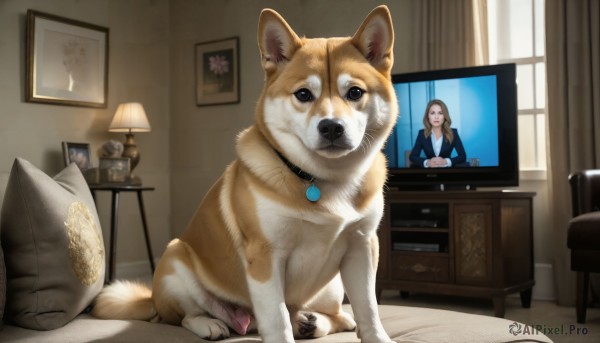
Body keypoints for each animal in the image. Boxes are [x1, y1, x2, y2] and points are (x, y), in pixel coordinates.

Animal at [94, 5, 398, 343]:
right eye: (303, 94)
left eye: (355, 92)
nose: (331, 127)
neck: (322, 179)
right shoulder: (265, 256)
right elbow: (277, 319)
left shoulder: (363, 247)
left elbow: (368, 309)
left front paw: (377, 336)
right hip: (176, 259)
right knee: (184, 316)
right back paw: (211, 324)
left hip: (331, 289)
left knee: (336, 316)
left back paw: (311, 321)